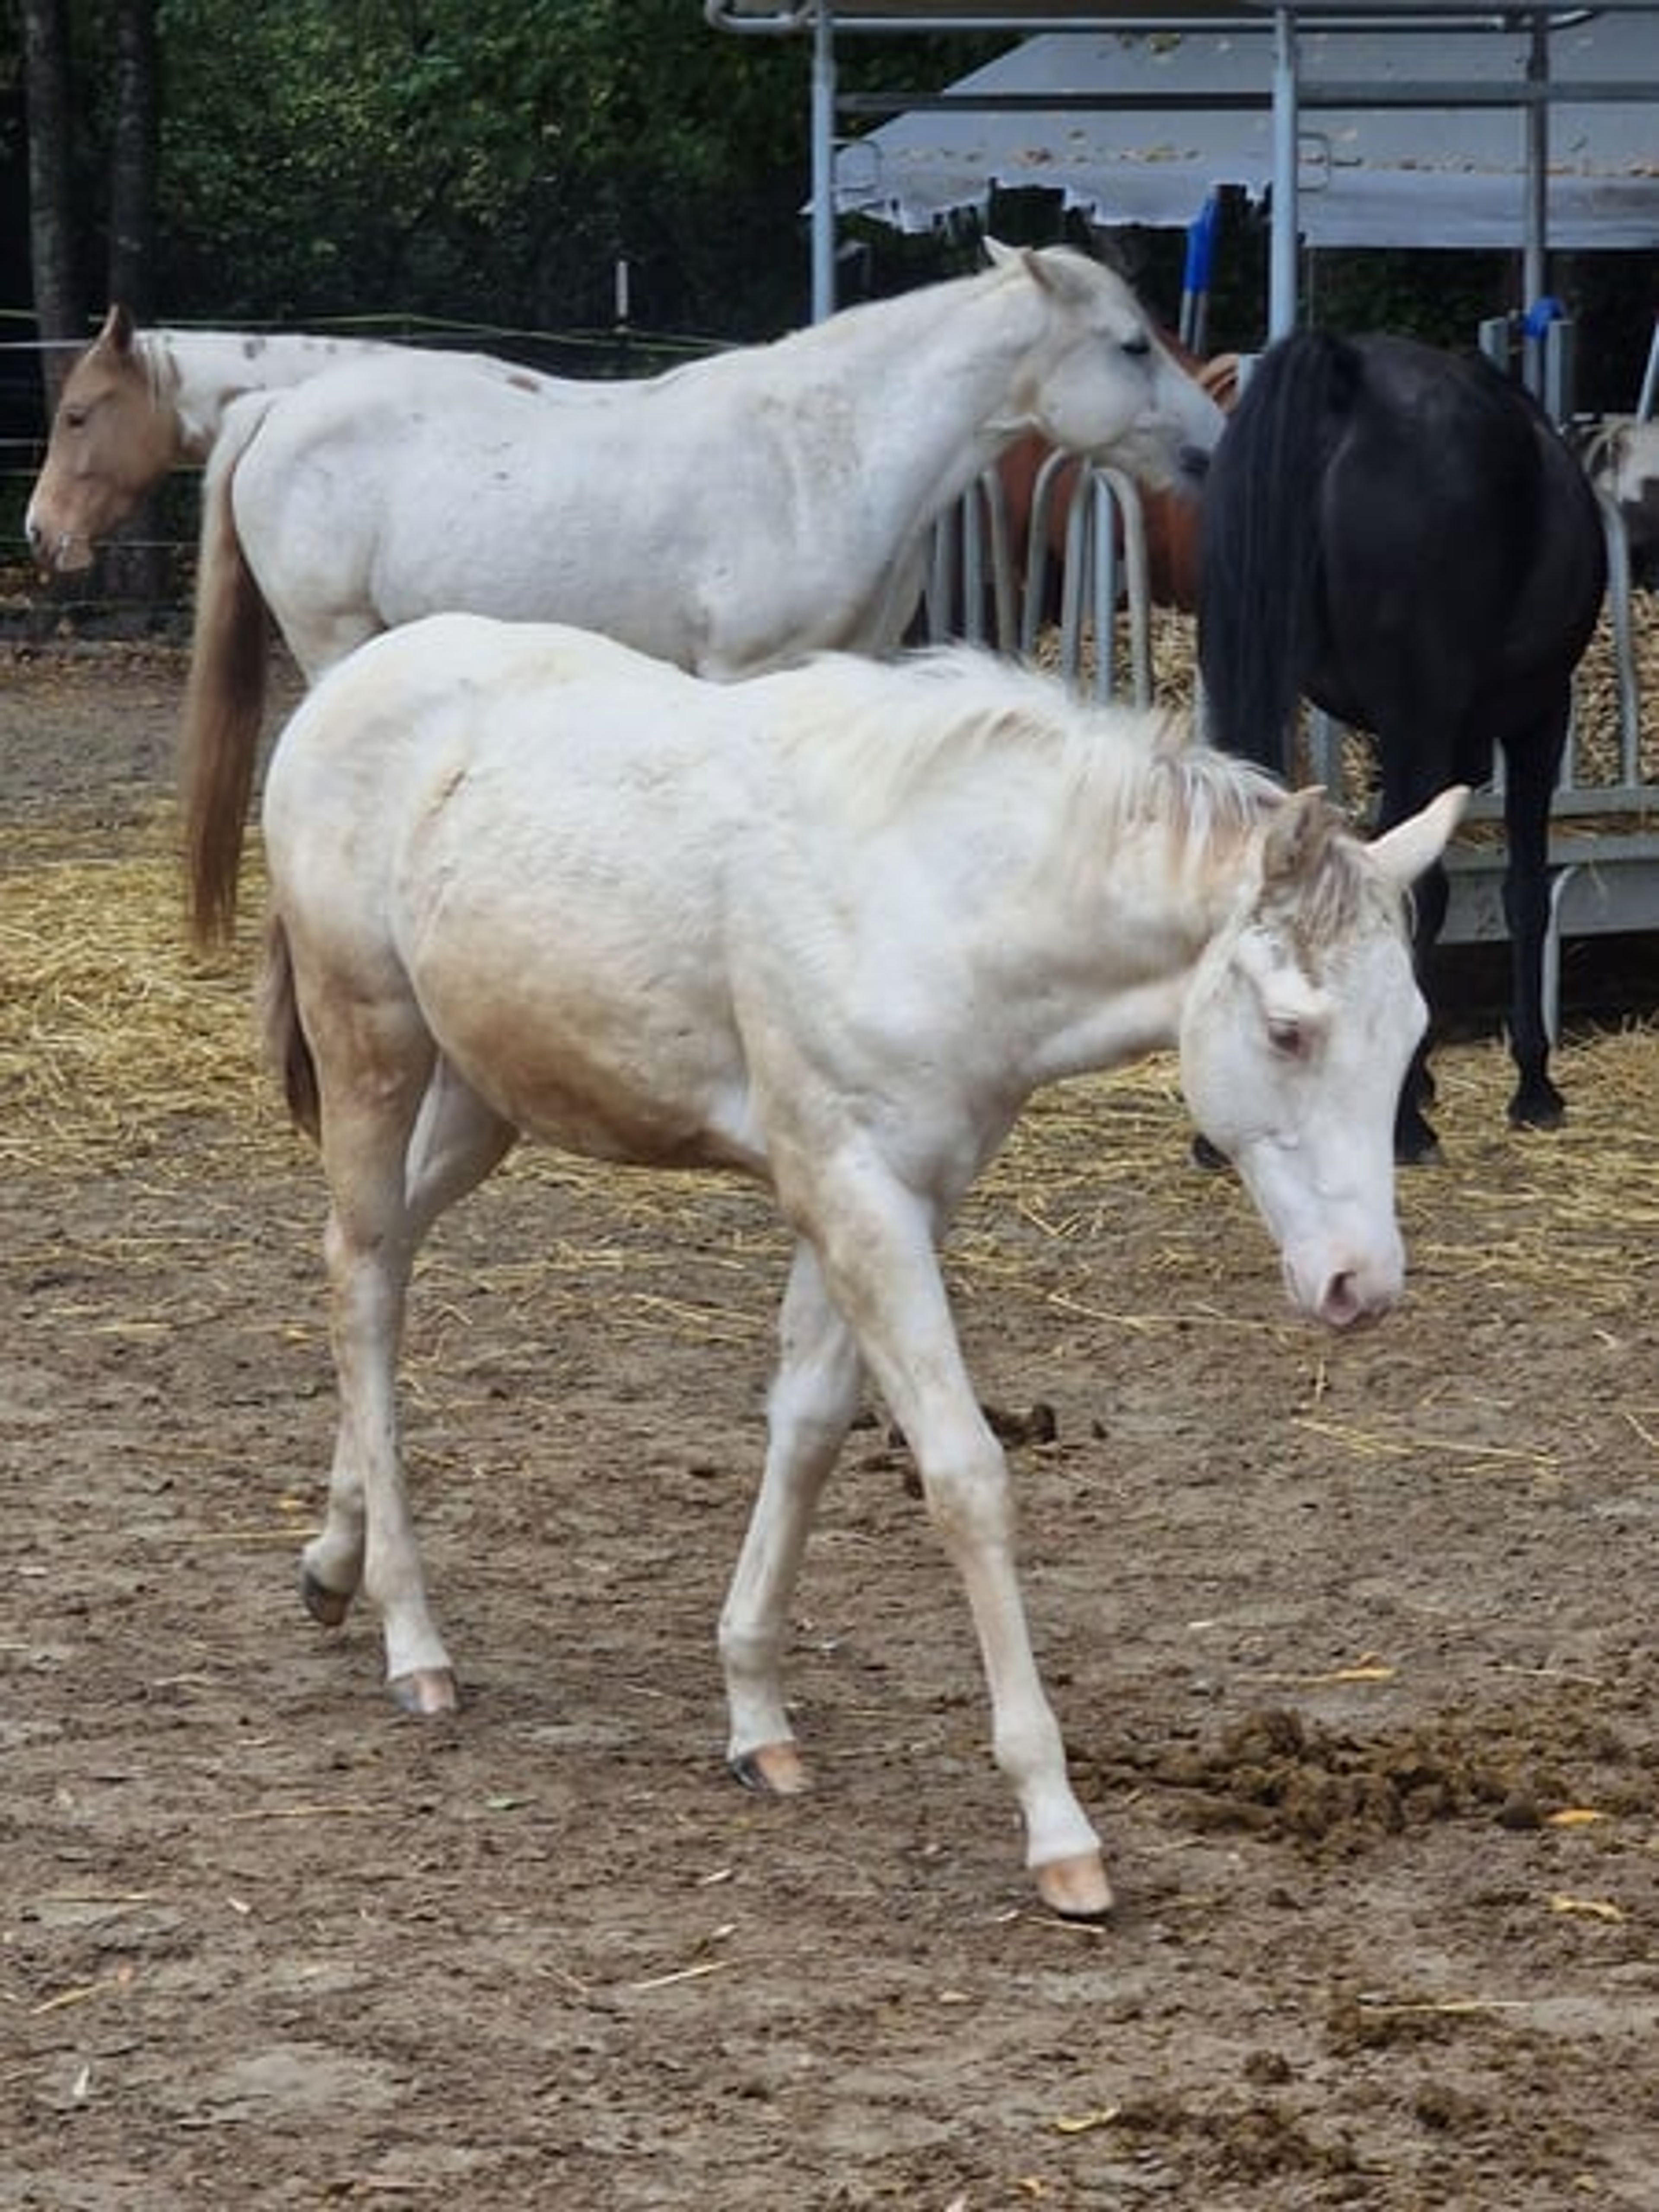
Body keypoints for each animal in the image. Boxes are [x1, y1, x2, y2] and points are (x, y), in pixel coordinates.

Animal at [179, 242, 1226, 947]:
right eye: (1134, 346)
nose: (1213, 447)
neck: (827, 454)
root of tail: (275, 409)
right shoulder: (743, 671)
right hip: (334, 639)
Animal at [257, 613, 1465, 1918]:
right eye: (1291, 1030)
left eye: (1411, 1033)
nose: (1359, 1284)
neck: (937, 896)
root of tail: (350, 682)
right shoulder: (855, 1190)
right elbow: (962, 1471)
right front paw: (1058, 1830)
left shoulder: (901, 1196)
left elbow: (811, 1424)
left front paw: (756, 1718)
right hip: (371, 1041)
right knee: (362, 1273)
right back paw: (412, 1640)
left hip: (488, 1095)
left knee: (381, 1260)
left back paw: (334, 1562)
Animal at [1197, 330, 1607, 1162]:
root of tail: (1349, 374)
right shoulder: (1533, 717)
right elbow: (1517, 891)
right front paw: (1531, 1085)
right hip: (1432, 714)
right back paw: (1408, 1129)